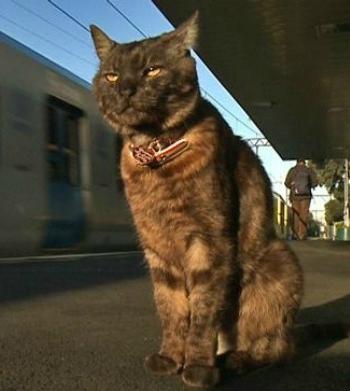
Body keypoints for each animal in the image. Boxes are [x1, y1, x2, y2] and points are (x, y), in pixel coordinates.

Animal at [89, 11, 326, 388]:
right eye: (111, 75)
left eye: (152, 70)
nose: (125, 89)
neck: (156, 156)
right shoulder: (156, 249)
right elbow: (171, 308)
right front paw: (171, 357)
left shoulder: (208, 242)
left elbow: (202, 314)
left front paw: (198, 366)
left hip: (279, 265)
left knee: (274, 348)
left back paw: (235, 359)